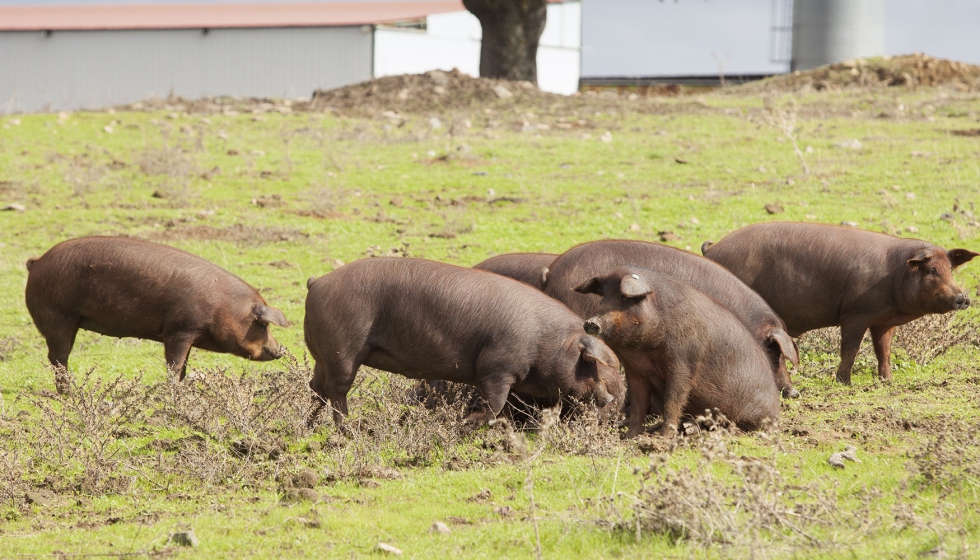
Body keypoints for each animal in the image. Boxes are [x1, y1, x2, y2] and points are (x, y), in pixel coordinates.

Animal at [24, 234, 290, 388]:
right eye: (262, 324)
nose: (280, 350)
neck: (221, 306)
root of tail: (36, 263)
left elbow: (183, 368)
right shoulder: (180, 329)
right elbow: (174, 366)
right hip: (56, 316)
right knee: (58, 357)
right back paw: (69, 393)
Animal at [302, 258, 624, 428]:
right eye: (590, 363)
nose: (609, 399)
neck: (548, 342)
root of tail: (317, 283)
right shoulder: (496, 366)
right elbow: (495, 403)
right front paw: (469, 423)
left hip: (323, 355)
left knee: (316, 387)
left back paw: (309, 425)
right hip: (343, 348)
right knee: (336, 389)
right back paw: (347, 429)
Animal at [576, 268, 780, 438]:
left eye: (625, 298)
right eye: (604, 296)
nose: (591, 322)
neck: (643, 352)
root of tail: (775, 409)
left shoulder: (683, 360)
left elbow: (673, 399)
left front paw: (664, 438)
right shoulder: (635, 370)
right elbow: (638, 404)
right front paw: (629, 437)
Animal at [700, 223, 976, 384]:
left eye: (950, 269)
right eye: (931, 270)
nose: (963, 298)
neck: (896, 275)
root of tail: (712, 249)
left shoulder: (884, 321)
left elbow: (884, 350)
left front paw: (887, 381)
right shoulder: (855, 313)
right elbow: (851, 349)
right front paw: (845, 382)